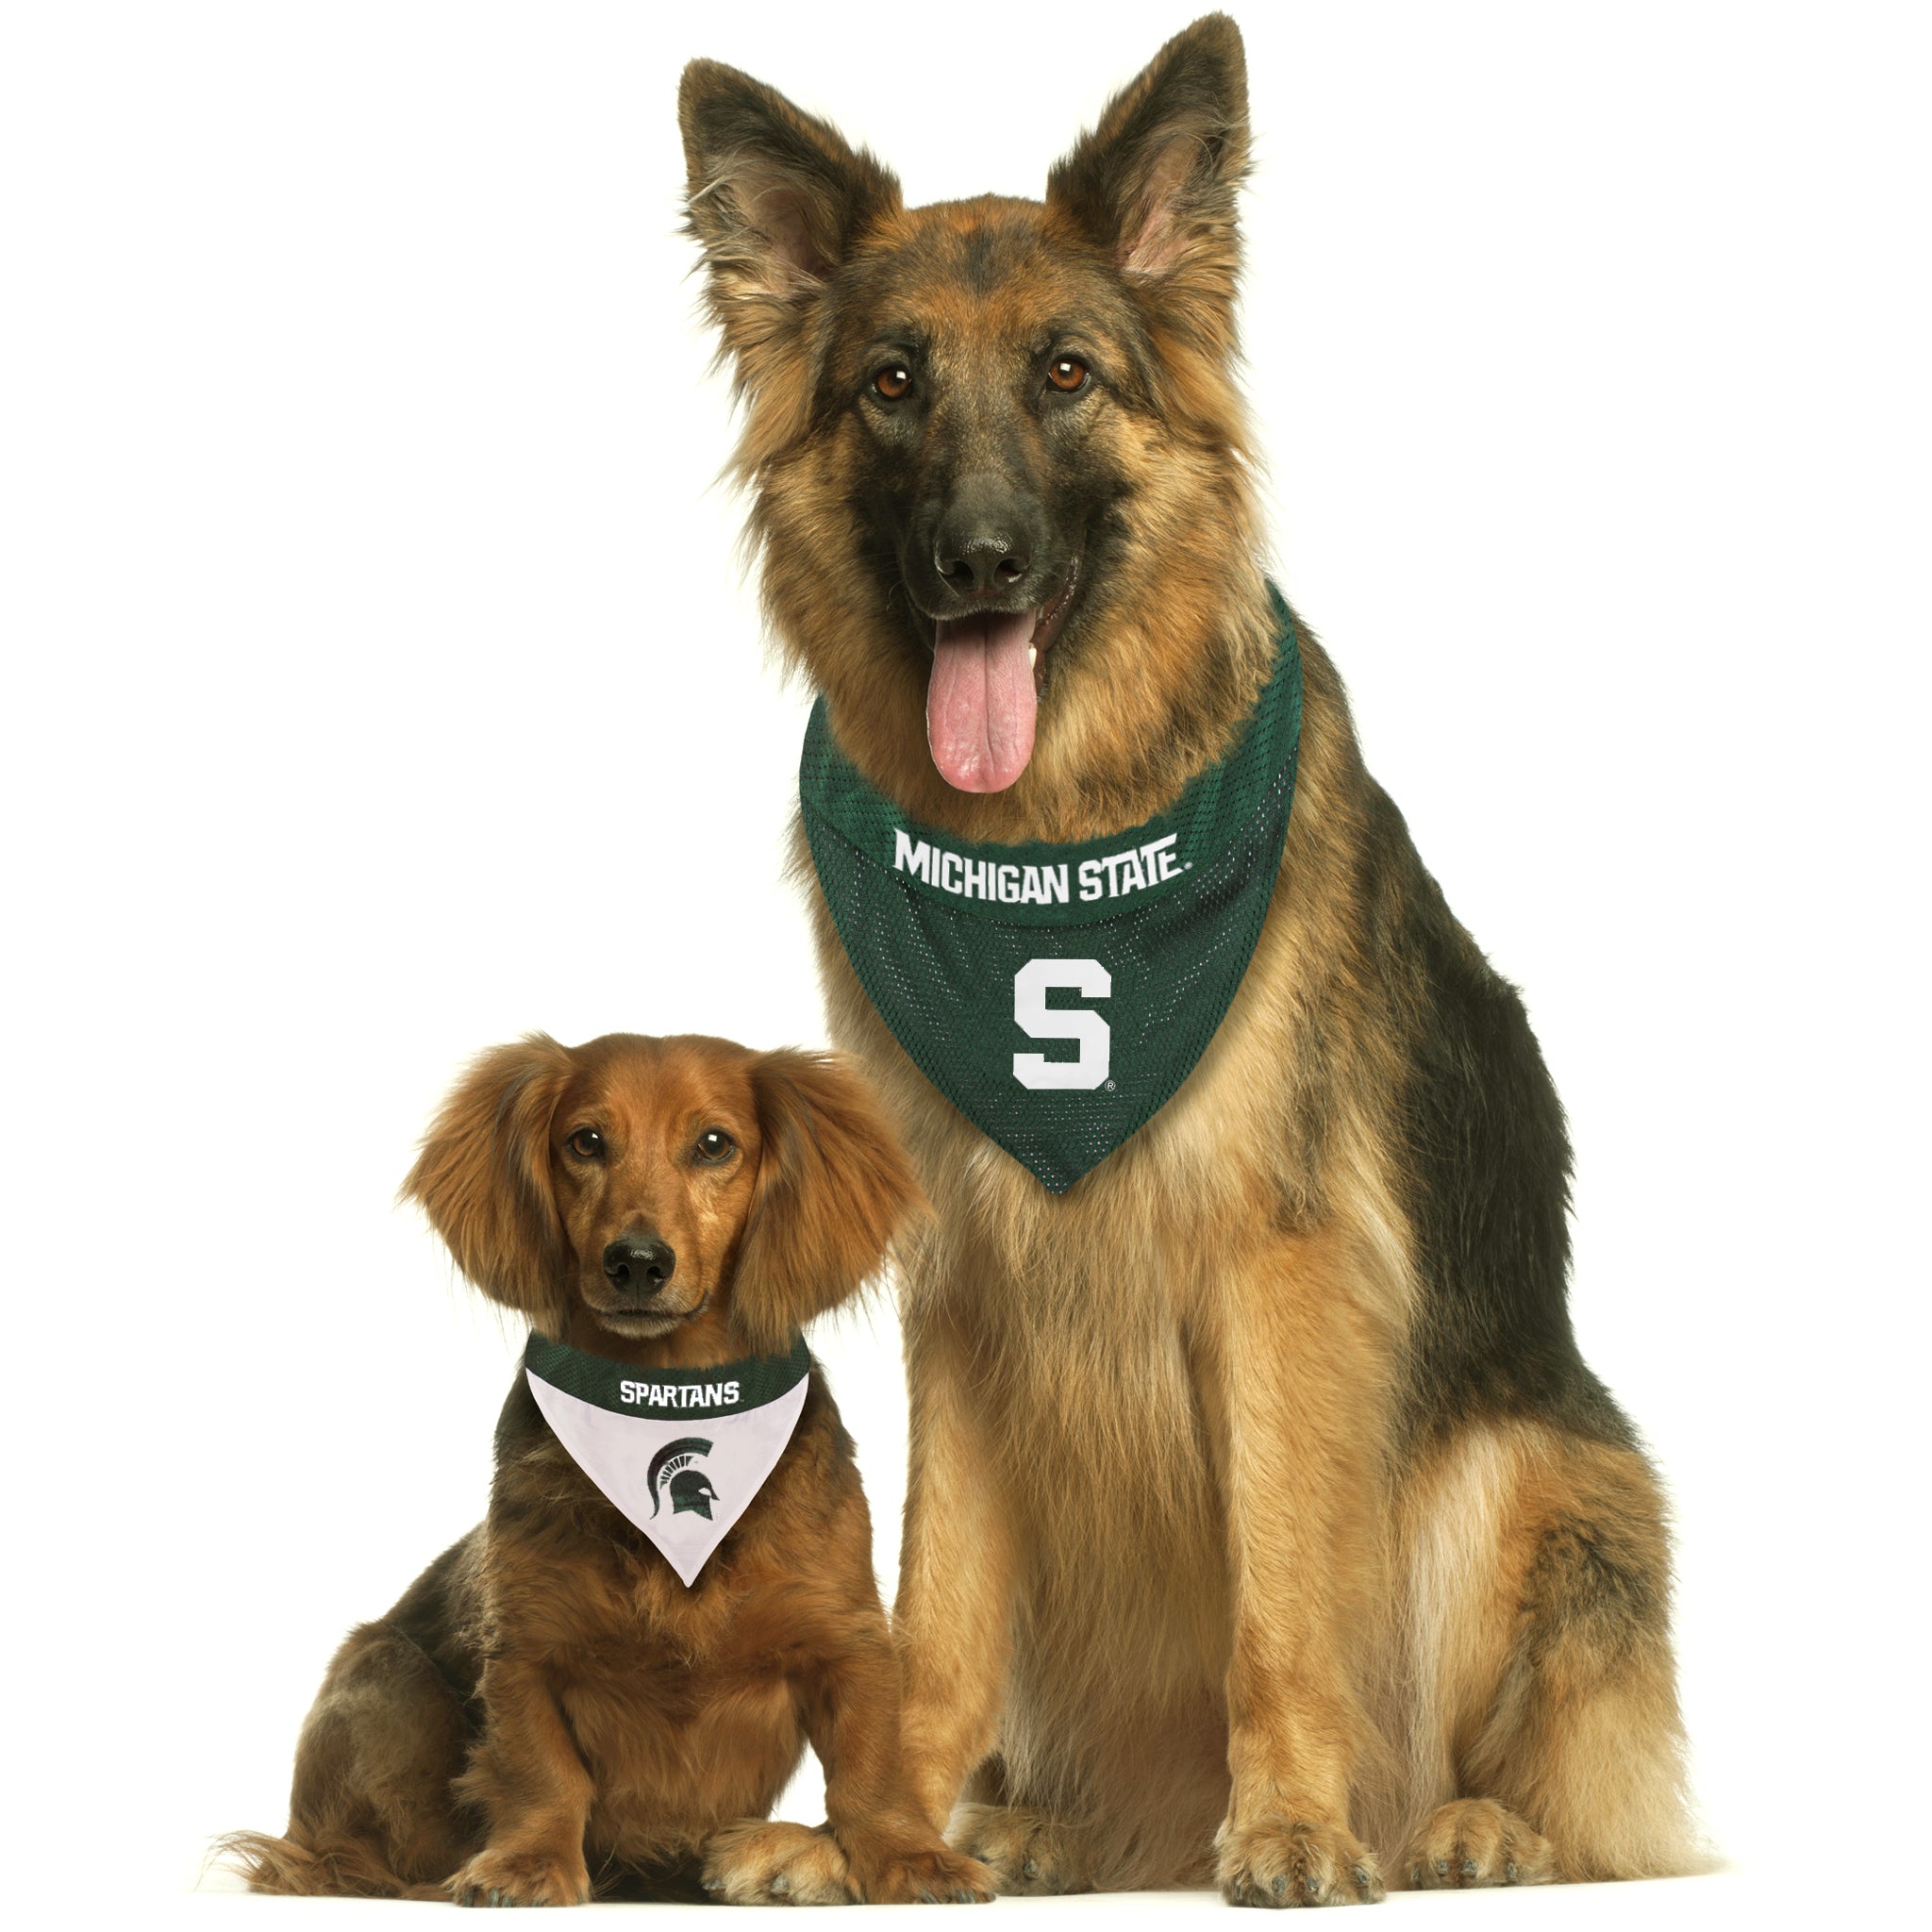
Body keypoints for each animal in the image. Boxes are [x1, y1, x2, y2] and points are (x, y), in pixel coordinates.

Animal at [683, 8, 1707, 1908]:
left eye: (1070, 374)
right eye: (891, 384)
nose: (979, 561)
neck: (1059, 835)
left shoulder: (1278, 1265)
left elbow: (1283, 1602)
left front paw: (1295, 1821)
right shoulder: (968, 1283)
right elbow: (935, 1601)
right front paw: (878, 1834)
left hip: (1526, 1476)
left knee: (1557, 1767)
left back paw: (1460, 1826)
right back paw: (1042, 1822)